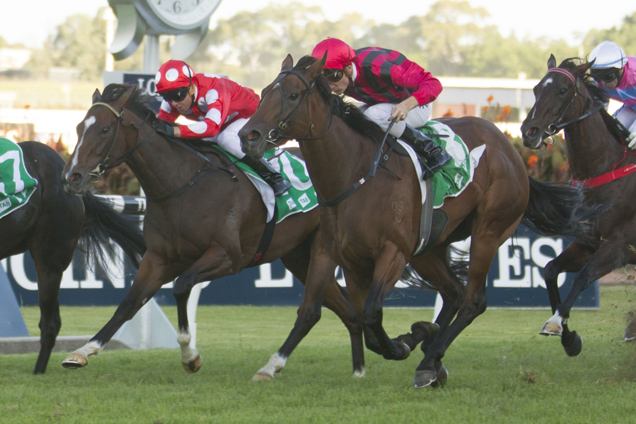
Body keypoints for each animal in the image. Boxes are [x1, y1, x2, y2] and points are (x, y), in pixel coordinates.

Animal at [62, 82, 366, 378]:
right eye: (78, 128)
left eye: (104, 129)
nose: (71, 177)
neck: (182, 184)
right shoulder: (159, 258)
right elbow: (129, 303)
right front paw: (83, 351)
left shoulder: (228, 257)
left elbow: (182, 286)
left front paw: (190, 356)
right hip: (298, 256)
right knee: (347, 310)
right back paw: (359, 369)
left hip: (322, 247)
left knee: (312, 311)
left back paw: (273, 367)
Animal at [238, 54, 592, 390]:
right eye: (264, 92)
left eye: (293, 95)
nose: (247, 135)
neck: (354, 174)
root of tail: (508, 146)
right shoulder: (345, 258)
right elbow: (359, 320)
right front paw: (412, 336)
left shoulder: (393, 252)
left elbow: (371, 314)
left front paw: (404, 345)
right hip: (430, 247)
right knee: (453, 293)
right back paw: (432, 352)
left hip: (488, 231)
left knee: (473, 300)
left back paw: (430, 360)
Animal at [520, 55, 636, 354]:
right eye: (536, 88)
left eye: (563, 90)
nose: (529, 132)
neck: (605, 168)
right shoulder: (587, 243)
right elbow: (550, 270)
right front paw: (569, 338)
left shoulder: (618, 246)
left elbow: (583, 277)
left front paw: (555, 322)